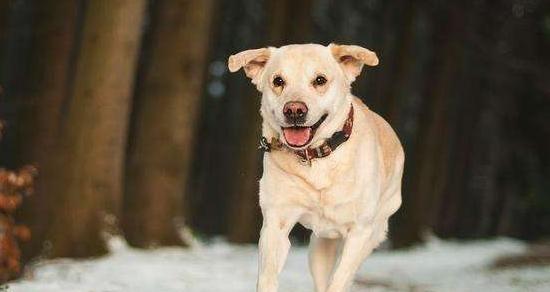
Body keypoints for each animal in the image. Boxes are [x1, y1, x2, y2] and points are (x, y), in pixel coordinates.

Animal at [229, 44, 406, 292]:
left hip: (373, 231)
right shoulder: (275, 225)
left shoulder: (359, 232)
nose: (294, 110)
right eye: (278, 81)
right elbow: (267, 277)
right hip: (320, 247)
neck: (317, 157)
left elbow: (340, 280)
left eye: (320, 80)